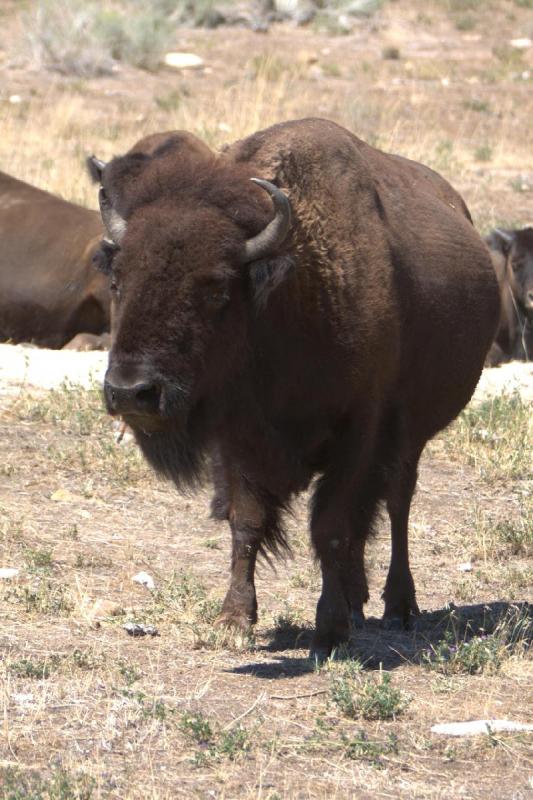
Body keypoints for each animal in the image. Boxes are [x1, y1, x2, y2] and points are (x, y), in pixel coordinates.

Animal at [89, 117, 500, 656]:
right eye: (117, 280)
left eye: (216, 288)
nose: (131, 391)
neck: (292, 297)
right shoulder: (238, 442)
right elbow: (246, 521)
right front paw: (234, 618)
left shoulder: (359, 434)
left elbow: (330, 527)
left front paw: (329, 630)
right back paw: (358, 601)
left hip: (410, 439)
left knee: (397, 503)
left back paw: (397, 607)